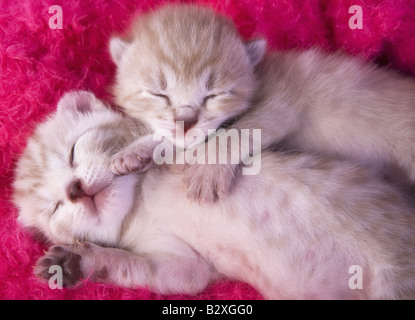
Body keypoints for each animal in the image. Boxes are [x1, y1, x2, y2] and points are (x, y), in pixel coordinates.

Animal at [12, 90, 415, 300]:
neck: (140, 201)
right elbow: (157, 272)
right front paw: (76, 262)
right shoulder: (182, 266)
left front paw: (135, 153)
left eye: (73, 151)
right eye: (54, 207)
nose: (74, 189)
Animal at [109, 3, 415, 201]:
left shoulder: (283, 100)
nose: (186, 123)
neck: (259, 74)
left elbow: (241, 129)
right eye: (158, 94)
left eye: (213, 95)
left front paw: (209, 166)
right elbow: (176, 137)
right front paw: (135, 152)